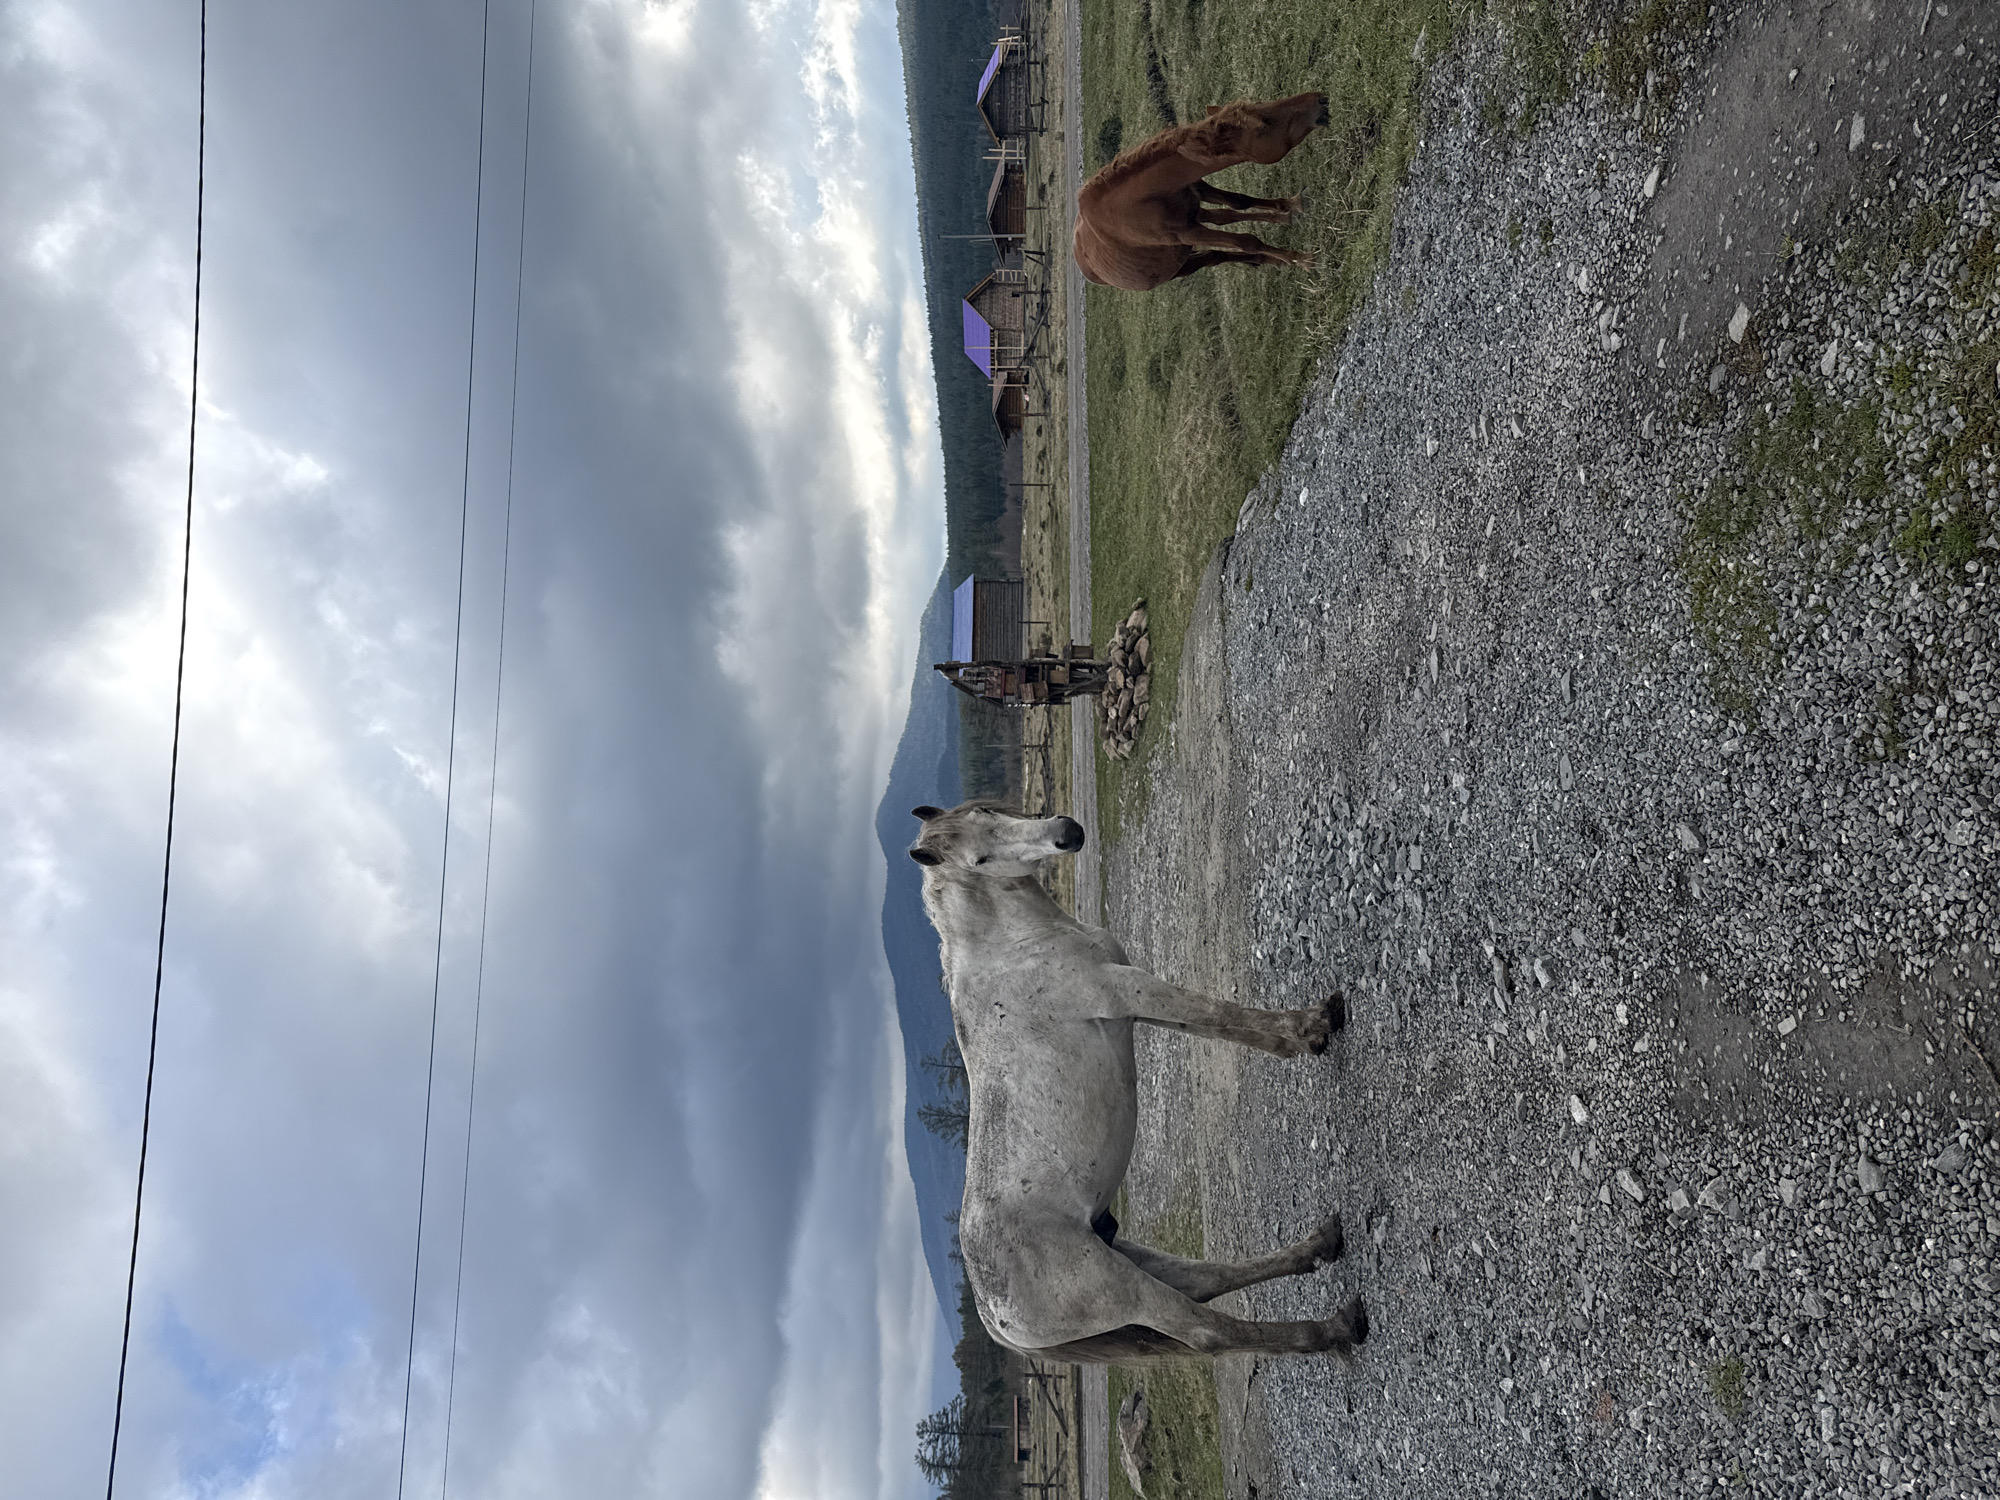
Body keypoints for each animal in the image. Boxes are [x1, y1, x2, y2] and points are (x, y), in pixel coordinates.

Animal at [907, 801, 1367, 1362]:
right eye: (980, 858)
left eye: (988, 810)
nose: (1066, 833)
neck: (1011, 948)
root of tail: (996, 1319)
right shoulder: (1124, 989)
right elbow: (1212, 1012)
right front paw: (1315, 1026)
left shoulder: (1130, 1004)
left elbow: (1214, 1024)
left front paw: (1296, 1040)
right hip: (1121, 1289)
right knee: (1207, 1332)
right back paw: (1336, 1328)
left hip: (1131, 1257)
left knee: (1207, 1280)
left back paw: (1321, 1245)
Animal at [1073, 92, 1328, 292]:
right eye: (1266, 122)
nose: (1320, 99)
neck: (1137, 200)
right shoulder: (1188, 234)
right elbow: (1247, 241)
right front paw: (1301, 259)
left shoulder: (1194, 187)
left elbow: (1239, 202)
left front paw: (1290, 206)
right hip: (1181, 265)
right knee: (1215, 255)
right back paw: (1270, 258)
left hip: (1194, 215)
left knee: (1221, 225)